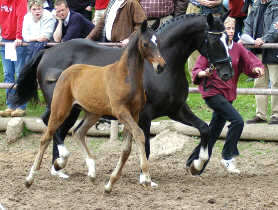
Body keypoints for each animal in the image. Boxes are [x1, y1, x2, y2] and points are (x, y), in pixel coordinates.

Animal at [25, 20, 165, 193]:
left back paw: (90, 171)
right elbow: (139, 135)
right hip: (60, 109)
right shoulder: (121, 112)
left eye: (158, 41)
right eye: (146, 43)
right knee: (46, 137)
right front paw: (146, 177)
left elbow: (126, 148)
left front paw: (110, 183)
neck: (126, 77)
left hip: (92, 113)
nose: (161, 66)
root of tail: (64, 72)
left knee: (78, 132)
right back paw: (31, 178)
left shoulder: (134, 113)